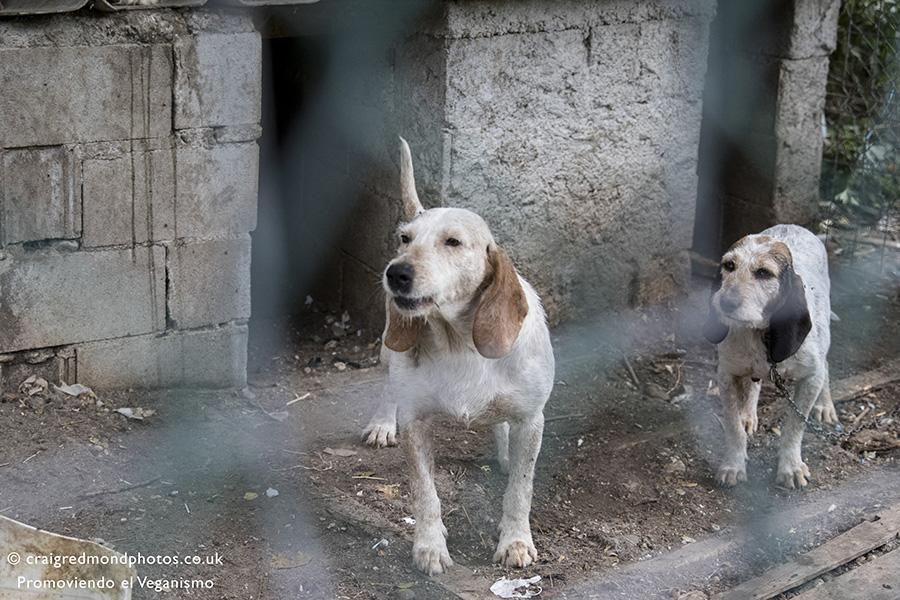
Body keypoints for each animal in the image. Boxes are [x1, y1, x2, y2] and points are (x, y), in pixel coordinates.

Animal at [362, 138, 552, 576]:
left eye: (453, 242)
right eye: (405, 238)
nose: (395, 273)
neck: (459, 342)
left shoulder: (532, 419)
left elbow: (521, 488)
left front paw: (516, 542)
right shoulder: (416, 422)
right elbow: (425, 493)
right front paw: (429, 547)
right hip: (389, 345)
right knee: (388, 385)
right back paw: (381, 422)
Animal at [704, 223, 836, 490]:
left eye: (764, 273)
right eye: (729, 265)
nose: (725, 302)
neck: (760, 334)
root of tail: (796, 226)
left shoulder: (811, 378)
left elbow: (794, 426)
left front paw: (791, 467)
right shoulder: (727, 375)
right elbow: (733, 425)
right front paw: (733, 465)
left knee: (826, 364)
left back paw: (825, 405)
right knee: (753, 386)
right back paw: (748, 415)